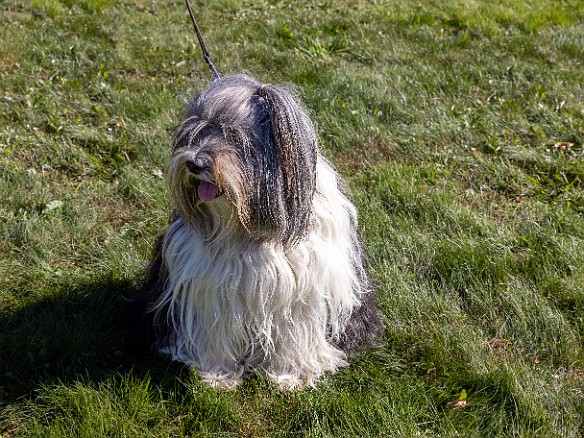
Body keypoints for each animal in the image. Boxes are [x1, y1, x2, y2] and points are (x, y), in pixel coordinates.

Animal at [136, 75, 384, 390]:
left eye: (234, 137)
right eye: (195, 133)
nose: (194, 163)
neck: (248, 225)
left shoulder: (302, 292)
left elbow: (294, 333)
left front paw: (290, 376)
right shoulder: (209, 285)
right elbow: (215, 329)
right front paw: (217, 376)